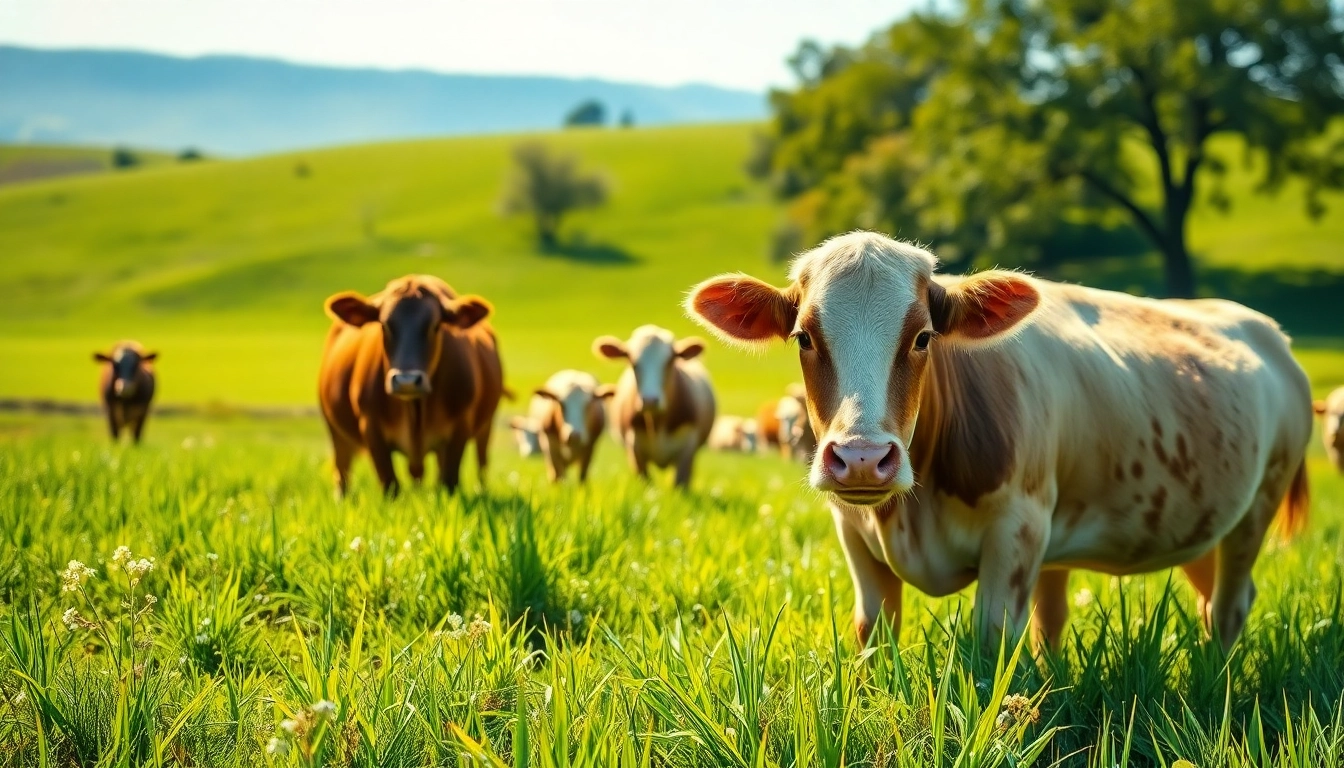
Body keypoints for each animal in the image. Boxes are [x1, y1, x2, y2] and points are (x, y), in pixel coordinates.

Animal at [318, 275, 504, 497]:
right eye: (384, 325)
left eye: (435, 325)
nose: (406, 381)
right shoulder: (371, 428)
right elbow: (390, 484)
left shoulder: (461, 426)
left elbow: (448, 482)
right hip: (335, 431)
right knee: (342, 471)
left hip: (485, 427)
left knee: (481, 462)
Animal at [593, 325, 716, 488]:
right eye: (633, 362)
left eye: (670, 360)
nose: (650, 400)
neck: (657, 424)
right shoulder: (634, 450)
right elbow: (647, 484)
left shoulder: (688, 448)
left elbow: (680, 483)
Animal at [687, 231, 1311, 652]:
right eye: (803, 337)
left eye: (923, 337)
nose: (862, 459)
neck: (913, 515)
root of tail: (1268, 330)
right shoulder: (853, 531)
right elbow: (874, 630)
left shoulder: (1019, 528)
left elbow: (994, 639)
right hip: (1204, 521)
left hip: (1258, 506)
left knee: (1230, 607)